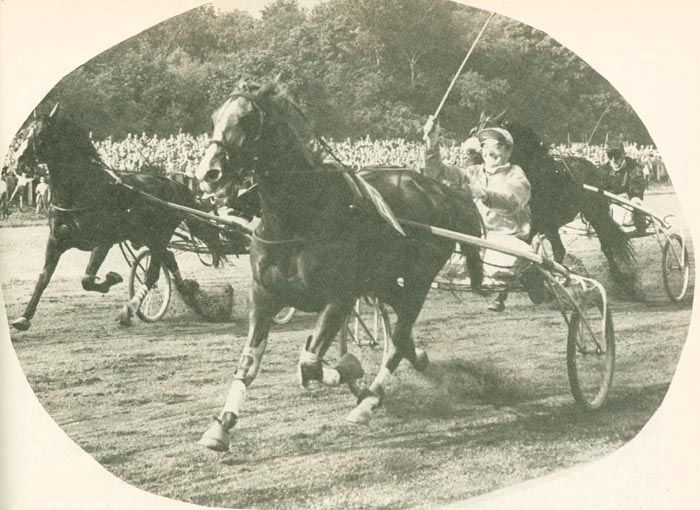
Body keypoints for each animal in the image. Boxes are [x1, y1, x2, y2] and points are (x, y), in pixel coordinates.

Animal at [9, 105, 227, 331]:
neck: (81, 190)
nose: (19, 162)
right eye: (24, 133)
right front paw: (24, 317)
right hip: (148, 235)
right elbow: (43, 278)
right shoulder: (56, 240)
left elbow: (87, 279)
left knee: (152, 274)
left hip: (160, 235)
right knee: (168, 258)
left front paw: (111, 279)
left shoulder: (103, 241)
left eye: (42, 134)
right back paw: (189, 294)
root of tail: (173, 183)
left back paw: (130, 309)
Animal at [193, 78, 485, 451]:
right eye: (215, 117)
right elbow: (248, 364)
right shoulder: (263, 295)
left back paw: (368, 401)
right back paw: (415, 359)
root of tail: (439, 190)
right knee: (401, 333)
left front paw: (349, 369)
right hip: (382, 280)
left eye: (246, 119)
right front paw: (221, 426)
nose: (208, 173)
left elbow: (309, 363)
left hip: (420, 278)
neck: (299, 218)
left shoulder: (339, 298)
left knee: (399, 335)